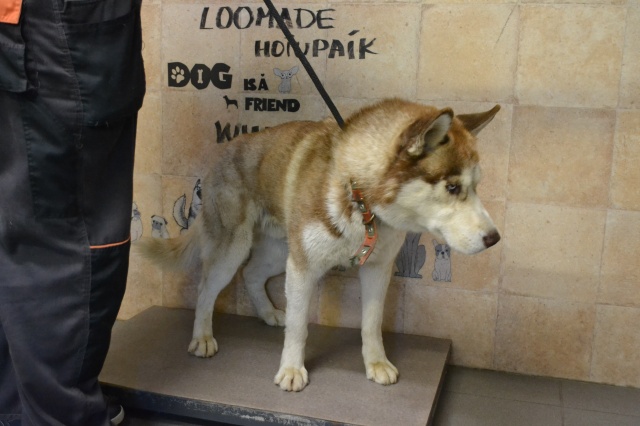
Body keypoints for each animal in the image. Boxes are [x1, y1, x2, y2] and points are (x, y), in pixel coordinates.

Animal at [138, 99, 501, 392]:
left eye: (477, 185)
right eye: (452, 187)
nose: (494, 238)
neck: (359, 198)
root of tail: (224, 150)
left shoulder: (377, 269)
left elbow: (371, 323)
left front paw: (376, 363)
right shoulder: (304, 268)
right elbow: (300, 326)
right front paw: (291, 370)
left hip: (279, 252)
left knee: (252, 274)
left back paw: (268, 312)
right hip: (236, 249)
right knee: (206, 288)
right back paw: (202, 337)